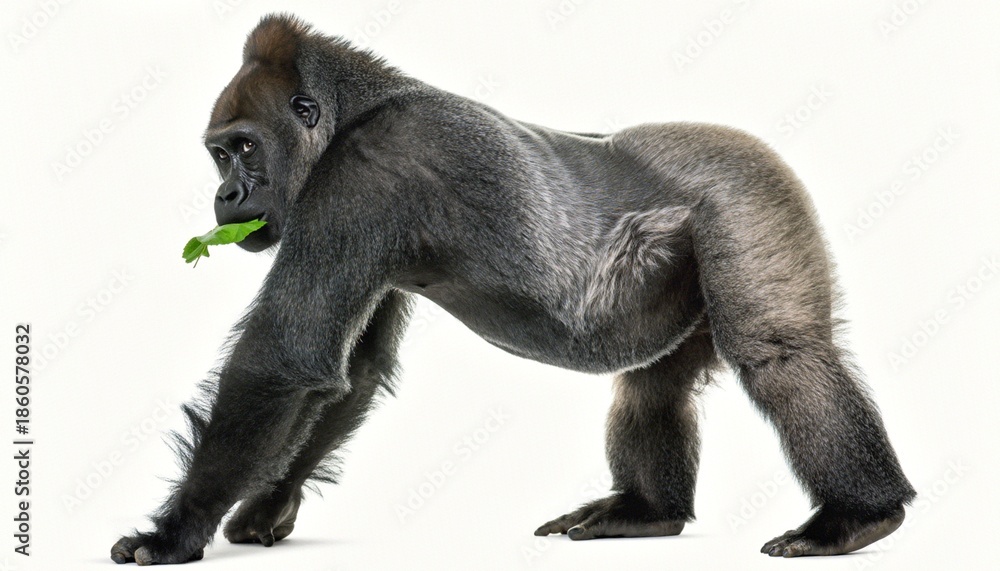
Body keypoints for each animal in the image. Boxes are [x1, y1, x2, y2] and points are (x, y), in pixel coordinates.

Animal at [111, 13, 915, 564]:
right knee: (653, 386)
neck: (358, 107)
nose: (227, 196)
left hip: (750, 187)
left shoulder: (365, 172)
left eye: (244, 148)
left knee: (778, 351)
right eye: (218, 156)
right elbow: (348, 370)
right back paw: (646, 512)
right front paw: (268, 502)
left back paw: (860, 515)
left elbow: (283, 356)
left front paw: (175, 529)